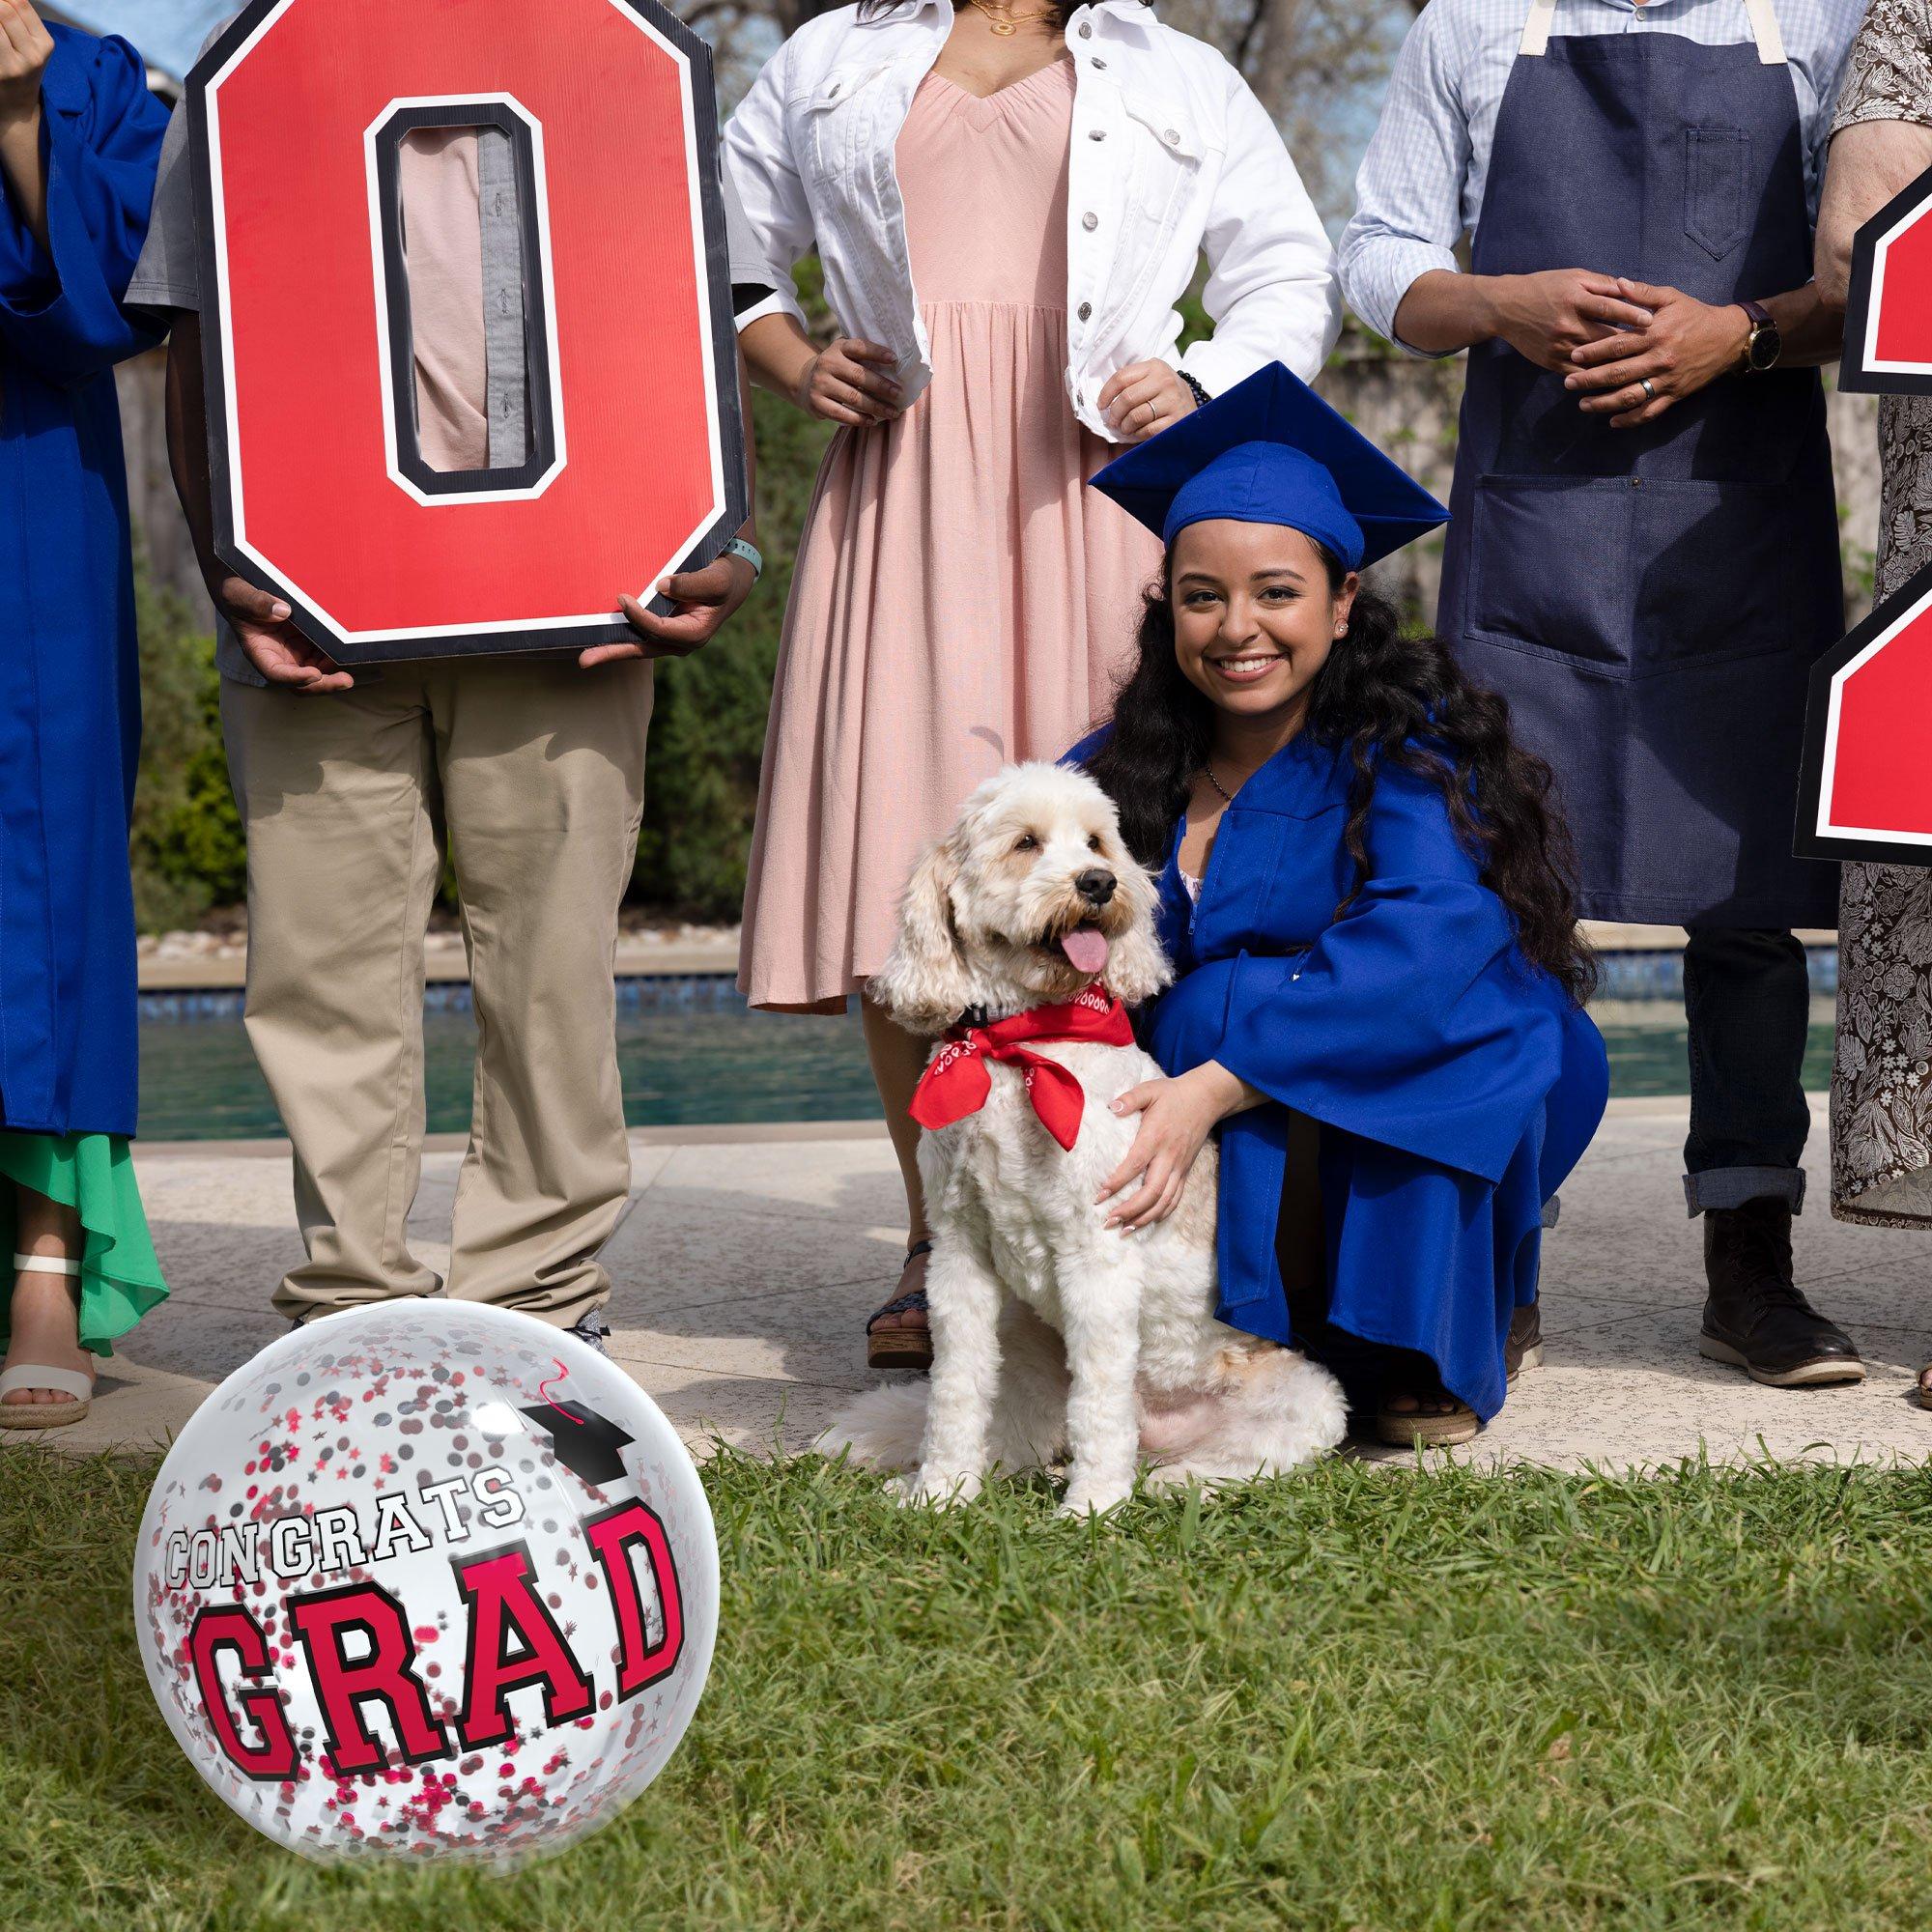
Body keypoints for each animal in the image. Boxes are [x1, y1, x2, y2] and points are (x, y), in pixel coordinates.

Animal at [823, 761, 1352, 1515]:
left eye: (1098, 842)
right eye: (1026, 843)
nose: (1098, 883)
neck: (1024, 1043)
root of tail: (1161, 1433)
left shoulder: (1098, 1257)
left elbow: (1101, 1404)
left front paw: (1091, 1509)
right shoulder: (960, 1257)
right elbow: (953, 1394)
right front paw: (940, 1491)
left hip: (1308, 1397)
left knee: (1245, 1460)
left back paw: (1169, 1481)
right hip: (1025, 1350)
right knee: (1017, 1436)